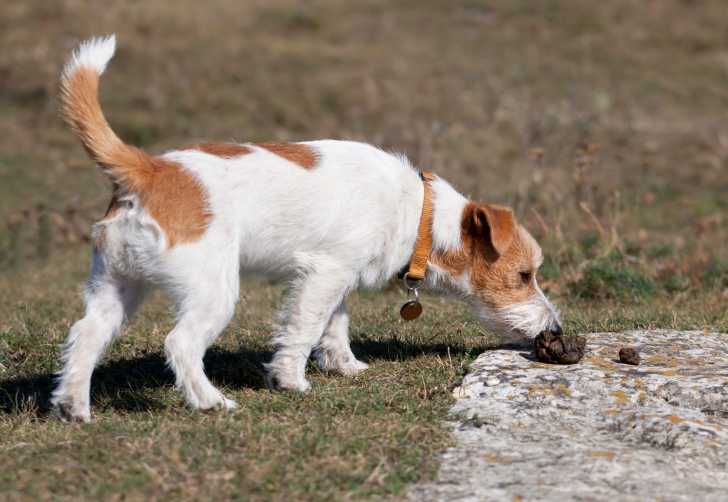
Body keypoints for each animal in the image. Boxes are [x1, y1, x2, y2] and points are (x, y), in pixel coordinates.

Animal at [51, 34, 564, 420]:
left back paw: (75, 407)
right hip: (213, 291)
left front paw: (346, 367)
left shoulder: (333, 277)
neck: (419, 213)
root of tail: (148, 169)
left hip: (117, 285)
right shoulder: (324, 275)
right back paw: (211, 402)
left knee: (84, 336)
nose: (556, 328)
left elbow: (334, 325)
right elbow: (304, 328)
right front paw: (291, 381)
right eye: (524, 275)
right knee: (179, 344)